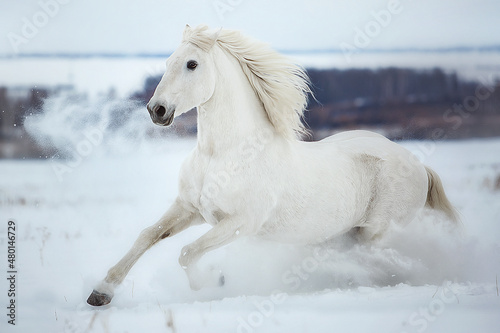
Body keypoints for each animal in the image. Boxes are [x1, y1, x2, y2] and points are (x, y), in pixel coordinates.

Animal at [87, 25, 458, 306]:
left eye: (192, 64)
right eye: (167, 62)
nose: (157, 110)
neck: (223, 155)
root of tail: (419, 165)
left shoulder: (241, 222)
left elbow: (187, 252)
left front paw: (216, 281)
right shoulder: (190, 209)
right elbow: (148, 235)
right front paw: (101, 293)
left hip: (375, 233)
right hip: (344, 233)